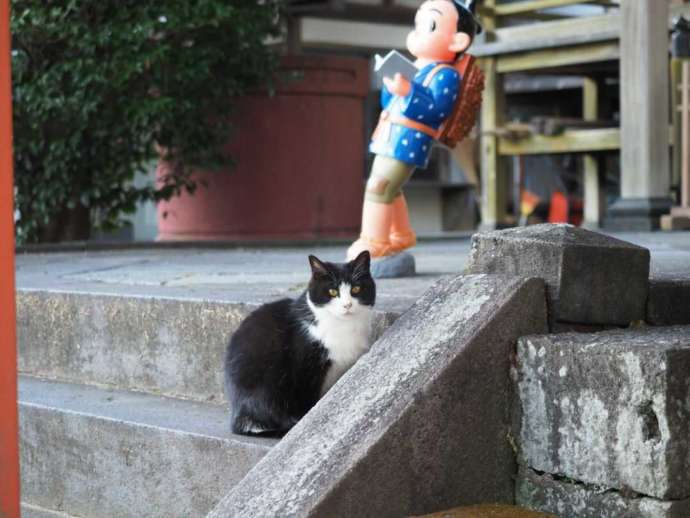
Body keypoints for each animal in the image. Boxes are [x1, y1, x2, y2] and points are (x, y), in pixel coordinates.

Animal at [223, 252, 374, 438]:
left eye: (356, 289)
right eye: (332, 292)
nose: (347, 305)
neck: (343, 327)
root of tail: (238, 417)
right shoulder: (305, 369)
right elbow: (307, 398)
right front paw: (308, 418)